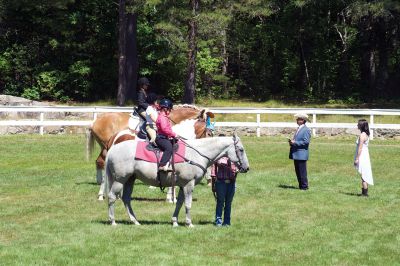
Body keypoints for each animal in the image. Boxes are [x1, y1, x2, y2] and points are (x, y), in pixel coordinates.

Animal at [103, 134, 248, 228]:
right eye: (241, 149)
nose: (246, 168)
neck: (196, 154)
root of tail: (112, 149)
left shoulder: (183, 185)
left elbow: (179, 203)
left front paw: (175, 221)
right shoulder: (189, 184)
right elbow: (188, 204)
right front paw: (189, 223)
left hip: (130, 180)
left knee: (126, 199)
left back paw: (135, 221)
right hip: (119, 180)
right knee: (112, 197)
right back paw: (113, 221)